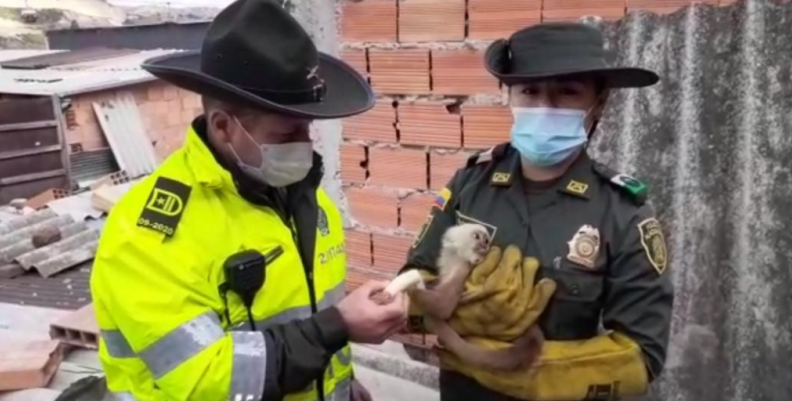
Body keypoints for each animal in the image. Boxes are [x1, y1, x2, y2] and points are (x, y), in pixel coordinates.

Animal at [384, 225, 544, 372]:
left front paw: (408, 286)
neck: (457, 261)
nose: (484, 245)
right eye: (477, 237)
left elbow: (442, 306)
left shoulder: (462, 272)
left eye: (486, 240)